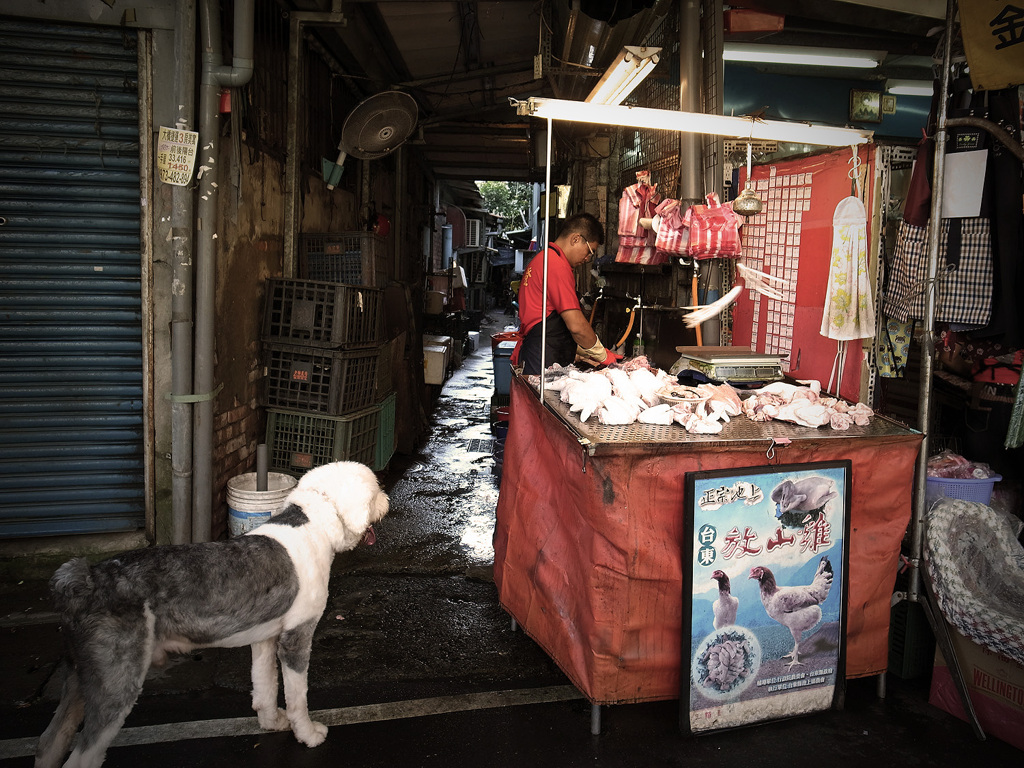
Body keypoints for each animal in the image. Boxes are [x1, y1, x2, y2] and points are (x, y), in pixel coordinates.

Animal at [35, 460, 387, 765]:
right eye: (375, 490)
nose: (385, 502)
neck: (313, 525)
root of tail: (88, 579)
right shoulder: (296, 637)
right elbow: (297, 694)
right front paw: (309, 735)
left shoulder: (265, 638)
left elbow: (265, 684)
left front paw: (271, 722)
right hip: (116, 679)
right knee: (83, 756)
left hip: (81, 675)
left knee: (48, 742)